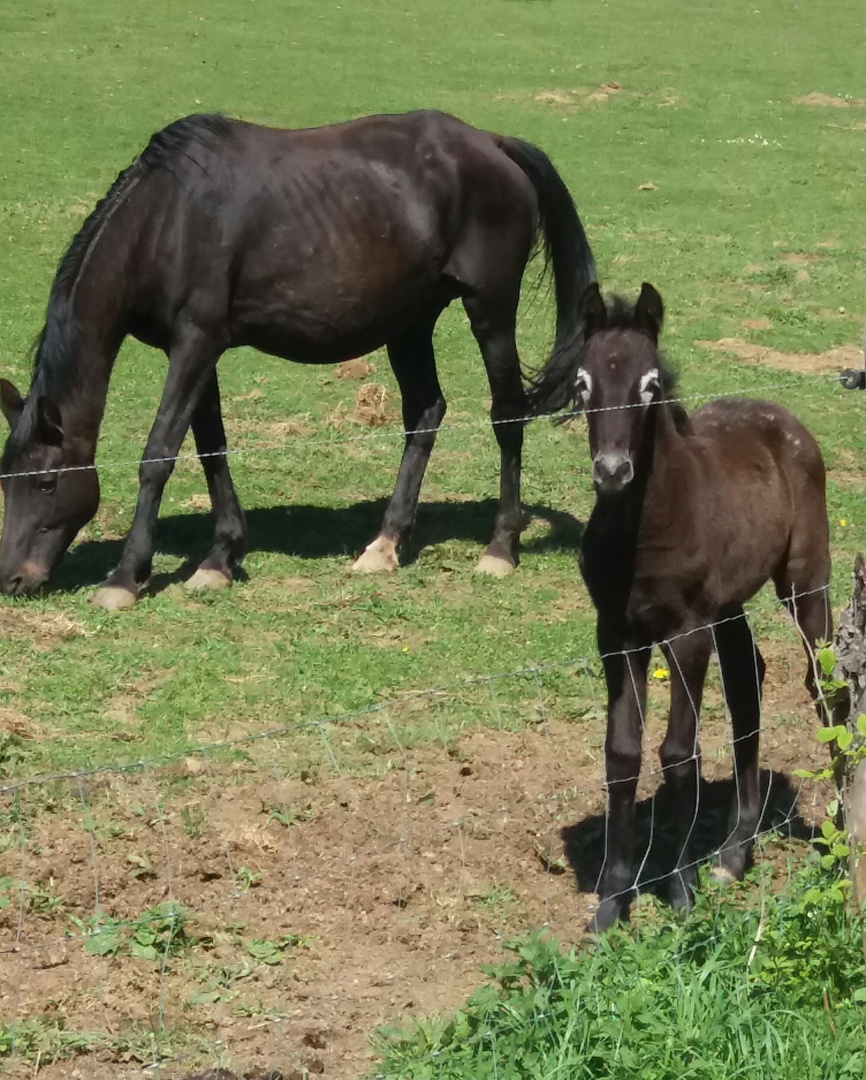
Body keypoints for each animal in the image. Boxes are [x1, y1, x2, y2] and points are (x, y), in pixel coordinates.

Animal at [0, 109, 596, 609]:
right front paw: (219, 559)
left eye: (46, 482)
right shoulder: (197, 350)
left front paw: (126, 576)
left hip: (490, 309)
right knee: (425, 413)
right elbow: (211, 448)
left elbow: (159, 455)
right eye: (7, 479)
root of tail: (493, 143)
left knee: (507, 414)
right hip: (409, 324)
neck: (166, 219)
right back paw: (385, 544)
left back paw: (499, 548)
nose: (12, 579)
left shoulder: (195, 344)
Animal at [529, 282, 833, 933]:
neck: (644, 530)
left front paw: (678, 890)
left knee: (822, 683)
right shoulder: (617, 636)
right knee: (748, 687)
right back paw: (735, 852)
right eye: (583, 384)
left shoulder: (686, 635)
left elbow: (677, 755)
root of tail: (783, 417)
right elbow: (622, 753)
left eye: (649, 384)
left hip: (804, 582)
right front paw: (613, 900)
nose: (612, 471)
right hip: (729, 606)